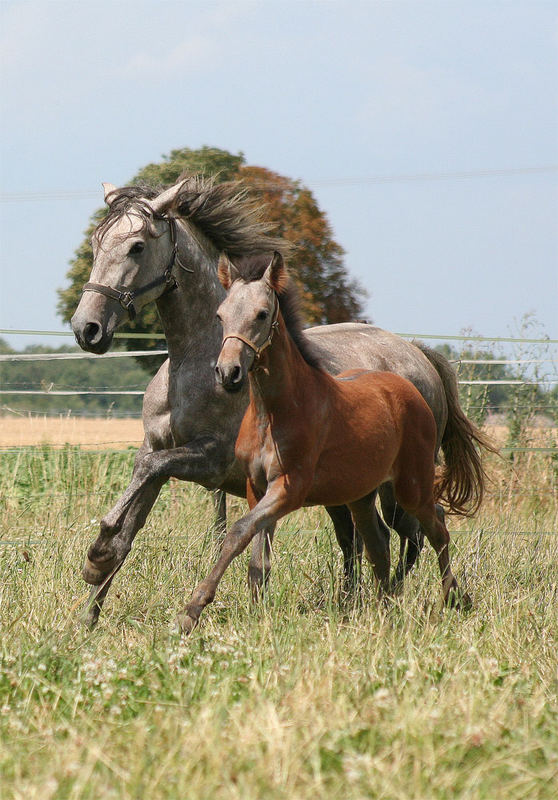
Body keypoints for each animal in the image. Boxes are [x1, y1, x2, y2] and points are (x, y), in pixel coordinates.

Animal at [177, 253, 474, 636]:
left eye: (261, 314)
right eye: (220, 315)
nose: (228, 373)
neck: (276, 412)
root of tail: (412, 384)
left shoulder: (289, 489)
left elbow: (238, 532)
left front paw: (193, 609)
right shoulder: (256, 488)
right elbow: (257, 553)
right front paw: (255, 609)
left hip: (410, 486)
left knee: (435, 526)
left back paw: (454, 598)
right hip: (361, 494)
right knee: (379, 542)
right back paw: (383, 608)